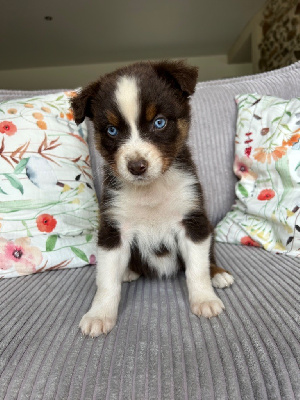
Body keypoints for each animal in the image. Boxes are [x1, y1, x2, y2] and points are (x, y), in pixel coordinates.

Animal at [71, 60, 234, 338]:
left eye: (159, 123)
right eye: (112, 130)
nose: (137, 166)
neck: (150, 191)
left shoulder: (192, 220)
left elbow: (197, 269)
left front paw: (204, 299)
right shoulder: (113, 229)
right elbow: (106, 281)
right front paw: (99, 315)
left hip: (208, 227)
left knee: (209, 258)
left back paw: (218, 274)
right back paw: (127, 272)